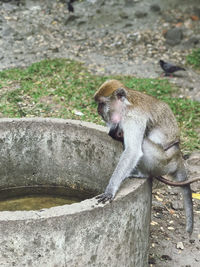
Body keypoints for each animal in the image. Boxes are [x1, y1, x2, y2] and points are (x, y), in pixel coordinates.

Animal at [94, 79, 196, 234]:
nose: (98, 110)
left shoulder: (133, 119)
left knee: (142, 143)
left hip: (162, 162)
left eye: (102, 103)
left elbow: (133, 151)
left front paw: (110, 190)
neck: (127, 104)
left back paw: (143, 174)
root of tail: (178, 156)